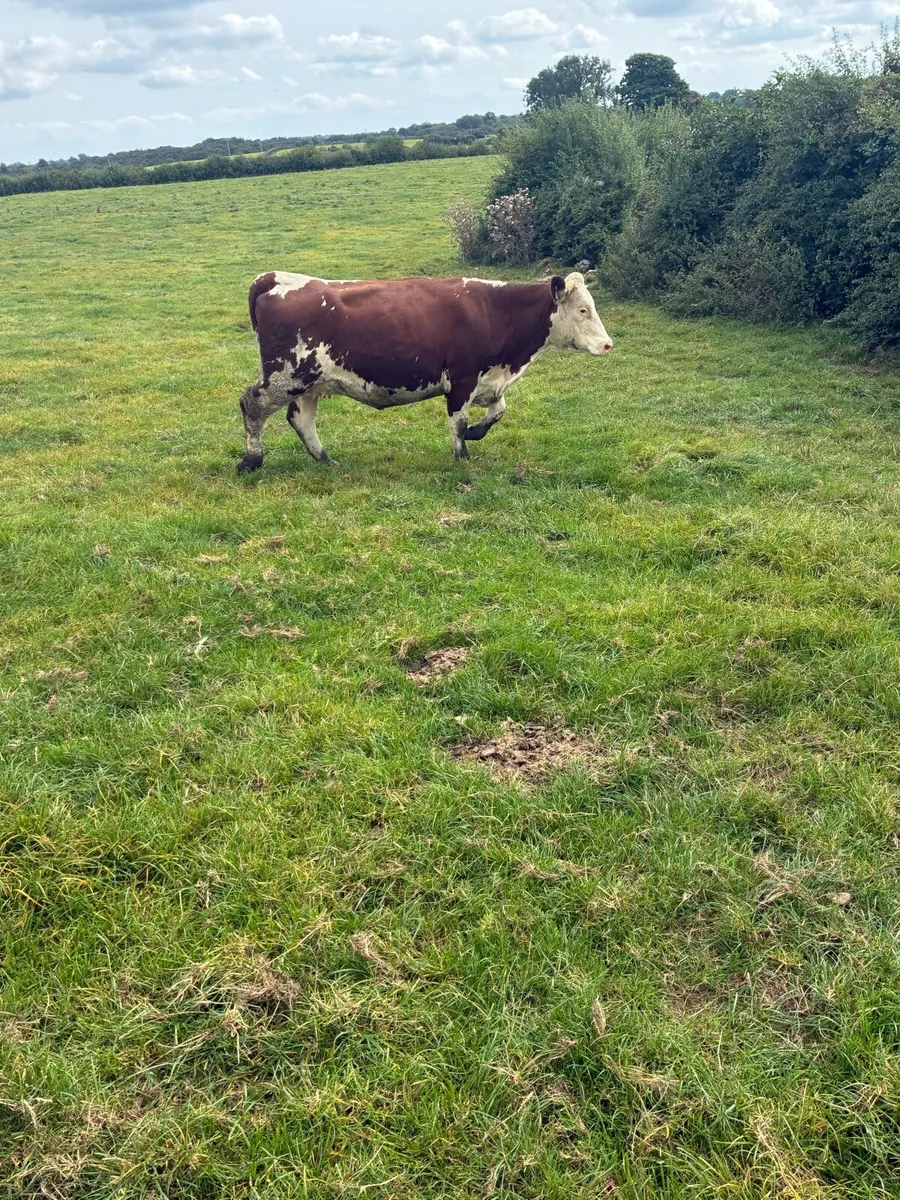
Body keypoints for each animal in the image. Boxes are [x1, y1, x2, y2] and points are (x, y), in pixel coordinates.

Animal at [236, 271, 612, 473]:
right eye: (583, 310)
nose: (608, 345)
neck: (496, 311)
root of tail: (275, 279)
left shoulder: (490, 380)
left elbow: (498, 411)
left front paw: (476, 432)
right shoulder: (462, 378)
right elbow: (457, 422)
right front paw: (462, 456)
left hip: (310, 383)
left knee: (301, 419)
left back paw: (325, 459)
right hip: (286, 376)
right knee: (252, 405)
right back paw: (252, 460)